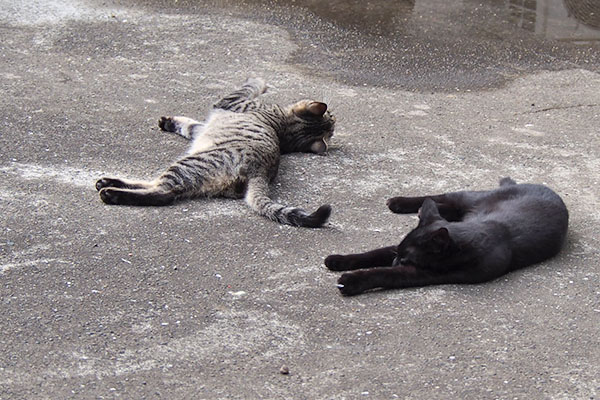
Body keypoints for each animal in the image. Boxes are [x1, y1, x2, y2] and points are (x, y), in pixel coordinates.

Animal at [96, 78, 336, 228]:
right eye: (332, 119)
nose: (334, 118)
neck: (283, 128)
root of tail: (260, 172)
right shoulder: (203, 126)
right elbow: (189, 125)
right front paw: (170, 122)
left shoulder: (232, 101)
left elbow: (248, 86)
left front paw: (258, 79)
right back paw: (109, 182)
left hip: (188, 164)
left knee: (163, 193)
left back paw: (112, 192)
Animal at [326, 177, 568, 296]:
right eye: (399, 256)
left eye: (405, 260)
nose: (395, 261)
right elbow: (374, 253)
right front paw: (337, 260)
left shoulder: (425, 274)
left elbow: (387, 274)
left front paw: (351, 281)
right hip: (469, 198)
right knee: (443, 197)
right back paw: (399, 202)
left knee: (447, 206)